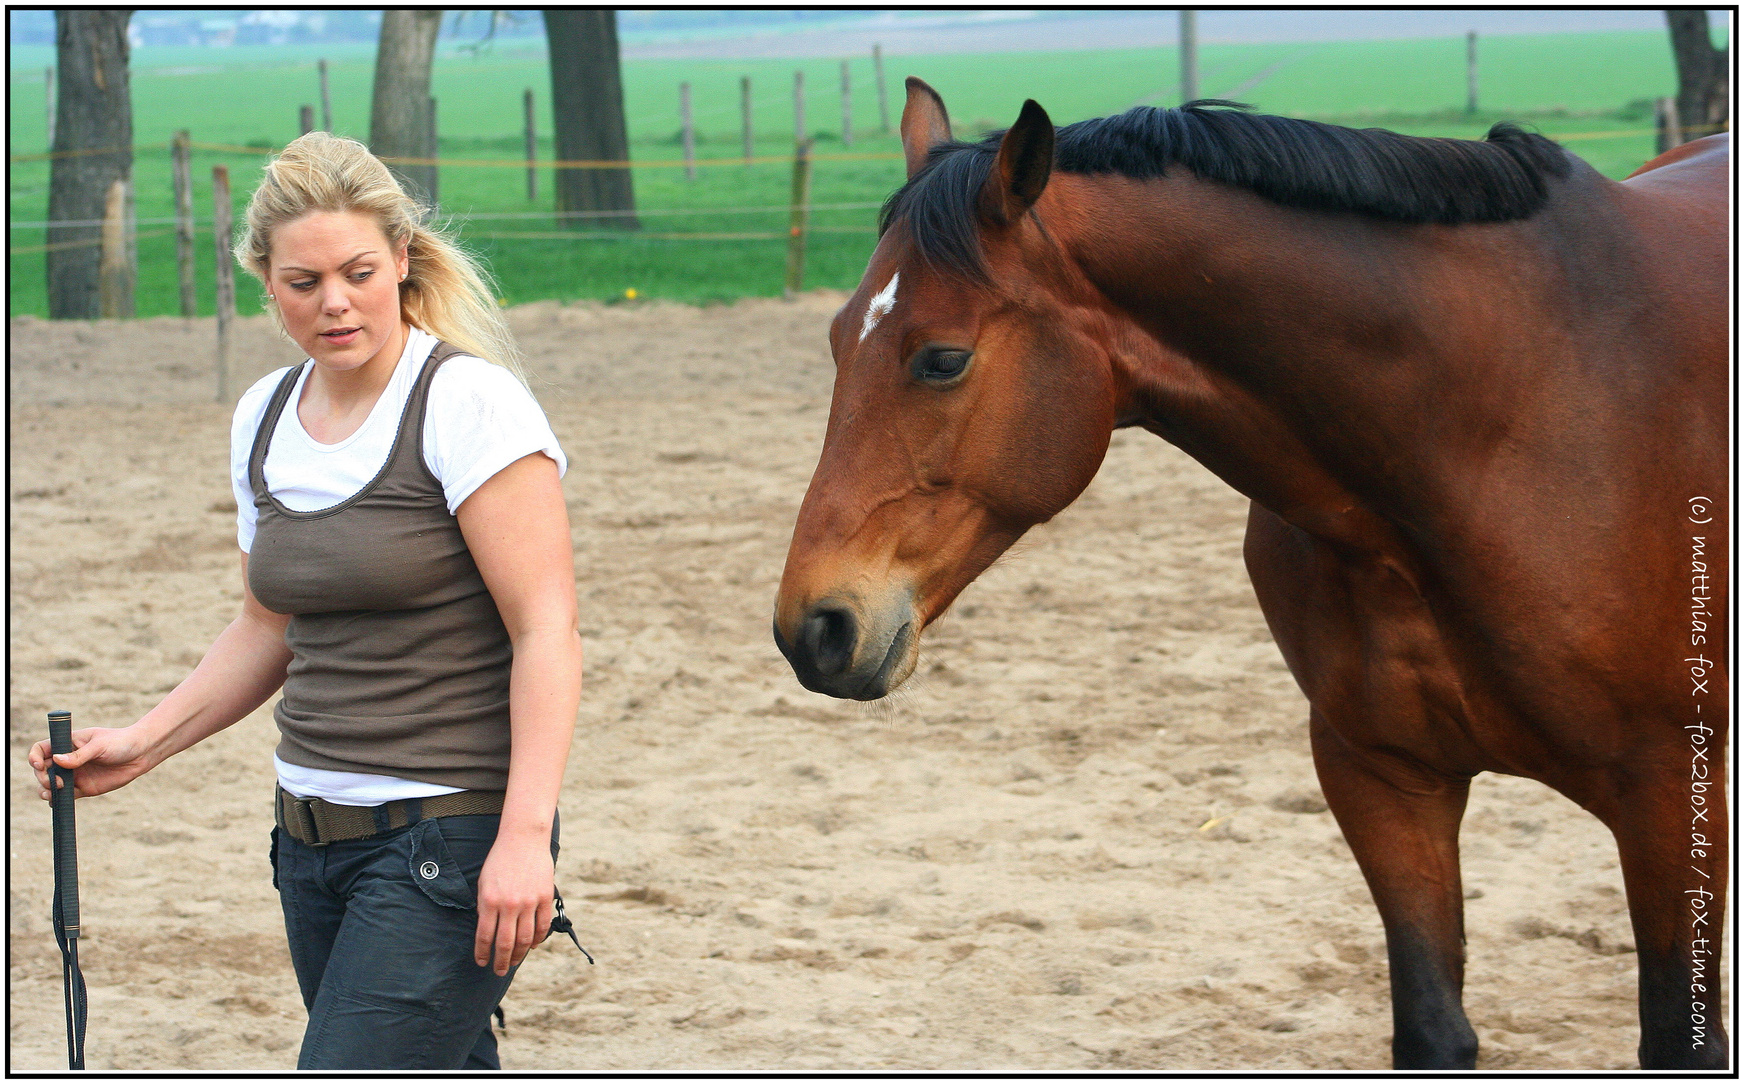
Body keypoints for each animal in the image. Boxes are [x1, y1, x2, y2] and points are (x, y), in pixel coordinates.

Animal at [779, 77, 1725, 1071]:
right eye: (838, 339)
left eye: (942, 358)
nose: (814, 626)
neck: (1508, 412)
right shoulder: (1382, 777)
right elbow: (1432, 1024)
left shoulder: (1665, 791)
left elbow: (1680, 1033)